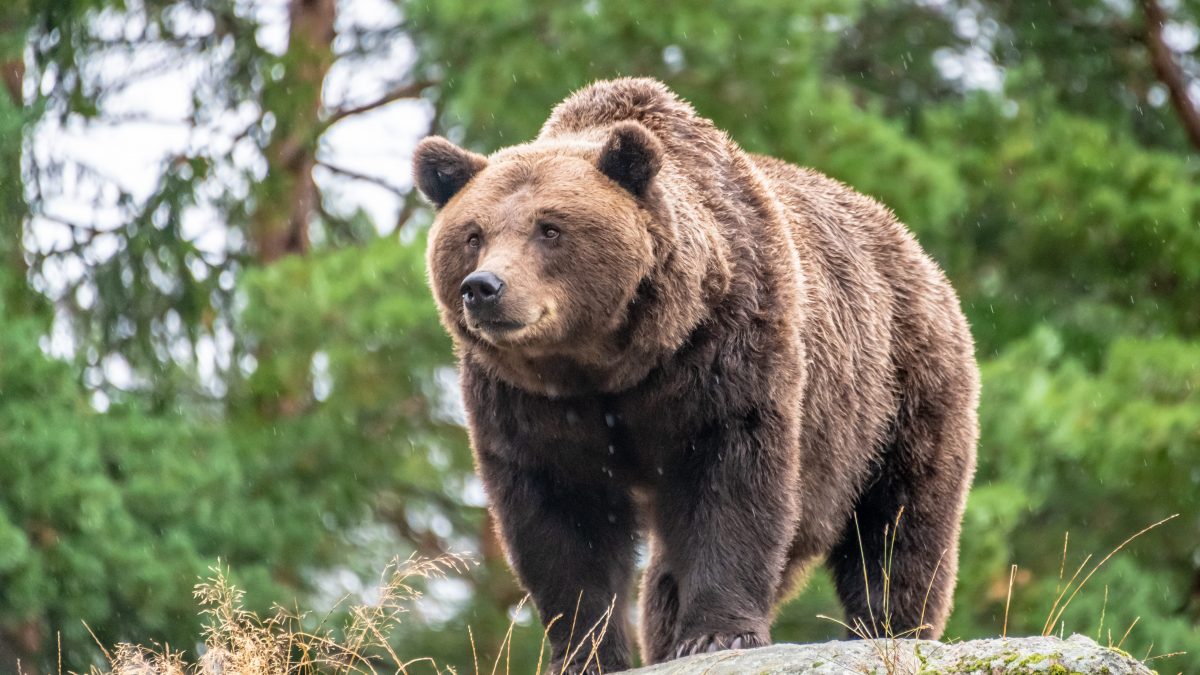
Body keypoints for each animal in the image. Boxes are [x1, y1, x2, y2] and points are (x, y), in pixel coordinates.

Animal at [413, 78, 978, 673]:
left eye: (550, 228)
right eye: (473, 234)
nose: (484, 287)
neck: (608, 363)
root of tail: (910, 244)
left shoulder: (727, 353)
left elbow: (733, 482)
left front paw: (717, 634)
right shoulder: (527, 402)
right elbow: (561, 518)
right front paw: (587, 651)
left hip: (898, 390)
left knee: (899, 521)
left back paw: (891, 627)